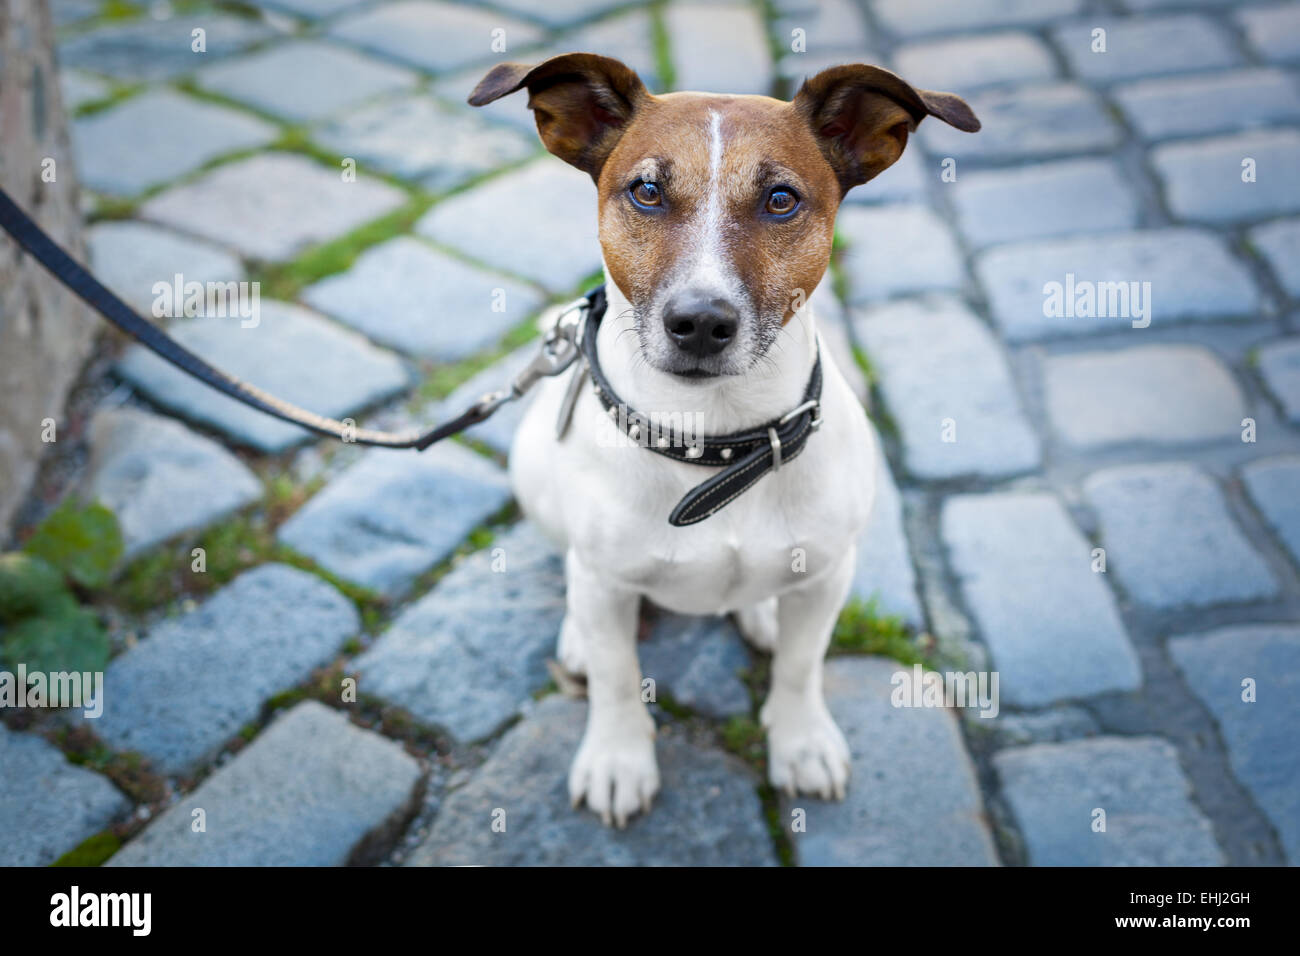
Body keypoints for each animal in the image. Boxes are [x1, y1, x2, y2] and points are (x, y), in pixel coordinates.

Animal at [467, 54, 977, 832]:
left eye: (780, 200)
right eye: (646, 191)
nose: (701, 322)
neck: (717, 444)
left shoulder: (830, 575)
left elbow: (800, 667)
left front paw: (801, 743)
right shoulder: (608, 584)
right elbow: (617, 678)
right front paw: (618, 760)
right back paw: (577, 636)